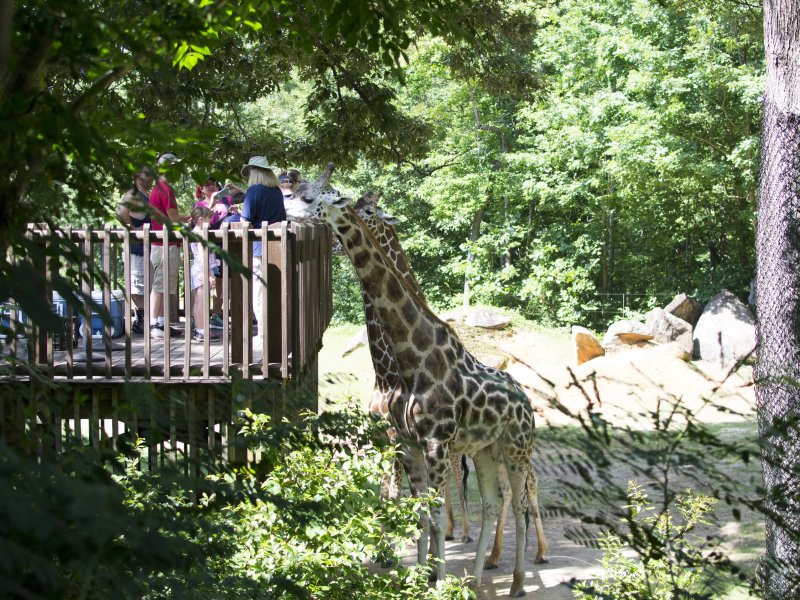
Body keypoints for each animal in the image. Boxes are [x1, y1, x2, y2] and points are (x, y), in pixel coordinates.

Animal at [354, 191, 472, 544]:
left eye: (370, 210)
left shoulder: (399, 435)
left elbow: (396, 491)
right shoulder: (390, 435)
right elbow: (394, 491)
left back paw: (466, 533)